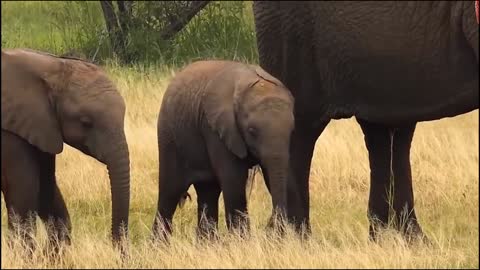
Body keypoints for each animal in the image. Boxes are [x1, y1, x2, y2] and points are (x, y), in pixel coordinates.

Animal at [0, 48, 130, 249]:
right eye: (86, 122)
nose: (117, 249)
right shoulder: (9, 134)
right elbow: (25, 192)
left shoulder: (42, 127)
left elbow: (45, 186)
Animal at [154, 60, 294, 240]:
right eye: (252, 131)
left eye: (292, 131)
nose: (268, 228)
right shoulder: (216, 129)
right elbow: (234, 182)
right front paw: (242, 242)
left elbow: (272, 175)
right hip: (169, 135)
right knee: (170, 191)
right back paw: (159, 244)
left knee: (208, 192)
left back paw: (207, 243)